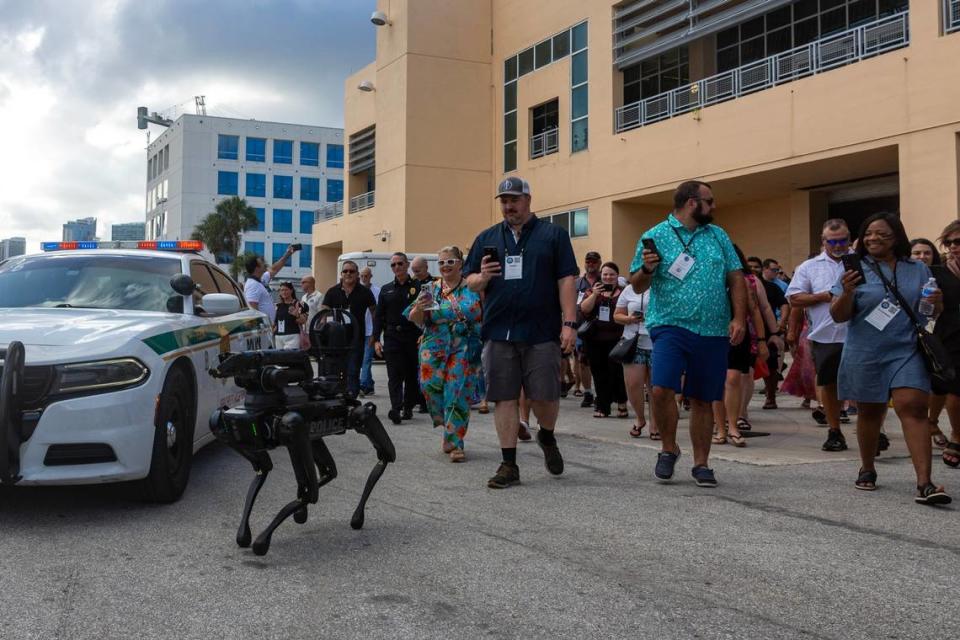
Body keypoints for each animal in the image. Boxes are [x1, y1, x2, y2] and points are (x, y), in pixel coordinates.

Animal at [209, 308, 394, 556]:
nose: (217, 367)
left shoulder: (294, 425)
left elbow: (309, 491)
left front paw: (262, 539)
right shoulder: (231, 425)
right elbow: (264, 469)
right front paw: (247, 533)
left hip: (343, 421)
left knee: (374, 451)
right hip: (312, 436)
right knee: (328, 471)